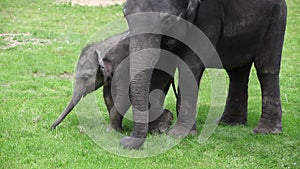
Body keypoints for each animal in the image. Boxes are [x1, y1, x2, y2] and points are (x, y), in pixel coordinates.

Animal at [119, 0, 286, 149]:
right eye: (125, 15)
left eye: (167, 20)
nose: (123, 141)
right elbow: (162, 67)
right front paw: (158, 130)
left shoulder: (207, 14)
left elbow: (190, 64)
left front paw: (177, 135)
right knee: (237, 71)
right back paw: (229, 123)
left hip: (276, 19)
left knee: (266, 68)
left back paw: (265, 131)